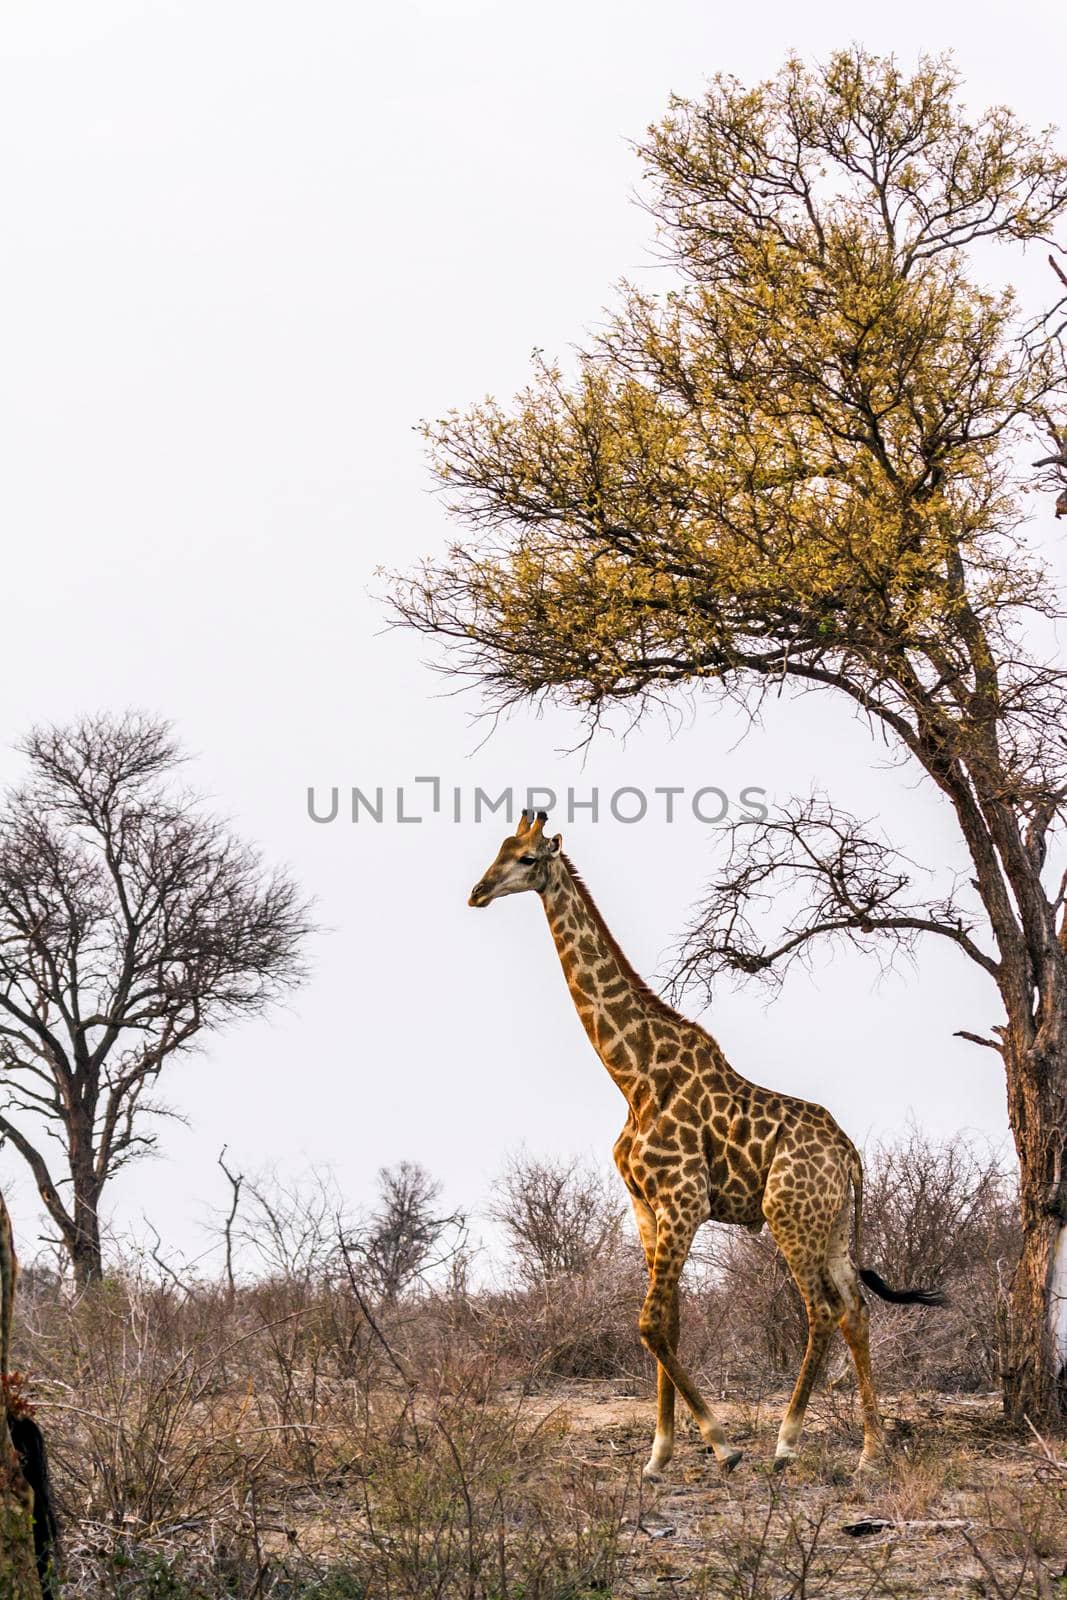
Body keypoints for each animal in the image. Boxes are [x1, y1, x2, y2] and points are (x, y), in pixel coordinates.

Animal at [467, 812, 940, 1472]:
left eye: (529, 858)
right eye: (500, 848)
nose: (477, 892)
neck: (633, 1074)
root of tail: (849, 1154)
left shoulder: (684, 1201)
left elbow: (648, 1325)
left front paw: (720, 1443)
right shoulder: (645, 1206)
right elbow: (669, 1323)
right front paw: (659, 1455)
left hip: (789, 1215)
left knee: (821, 1312)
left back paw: (785, 1443)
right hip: (833, 1224)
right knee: (857, 1311)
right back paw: (872, 1450)